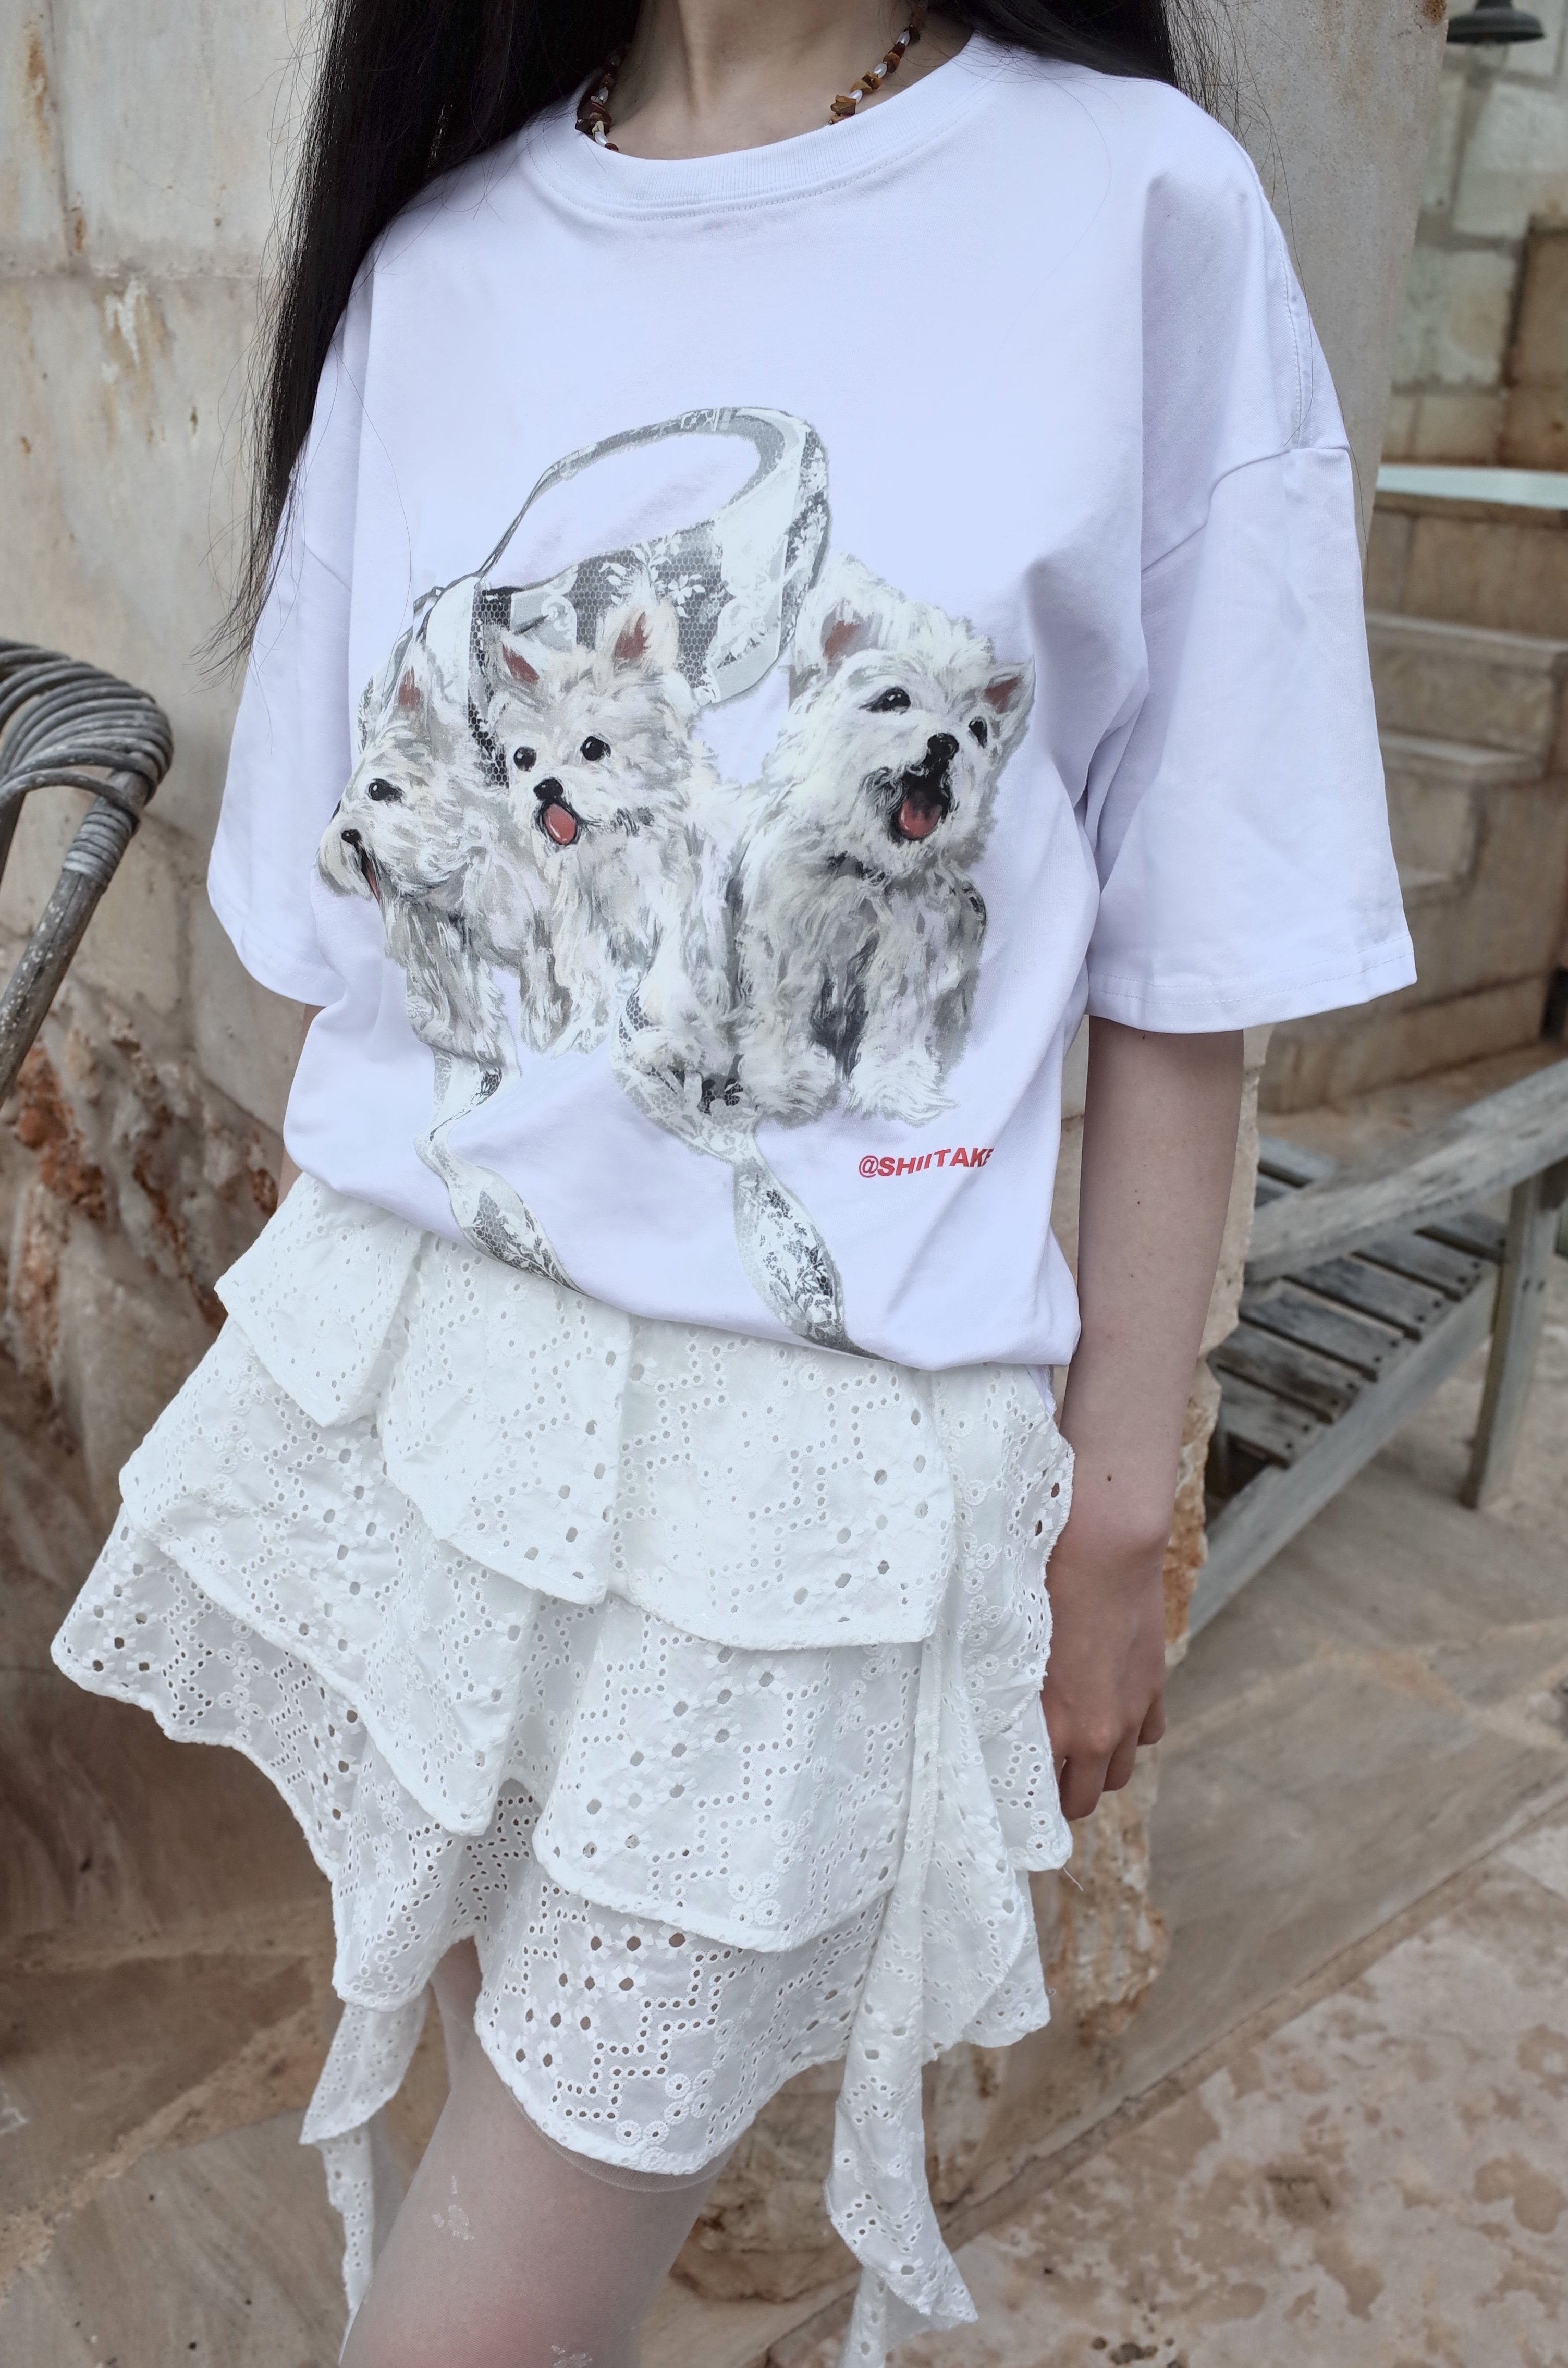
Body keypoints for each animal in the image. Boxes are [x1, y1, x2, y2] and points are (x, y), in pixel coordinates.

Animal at [735, 555, 1034, 1127]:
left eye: (977, 729)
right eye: (893, 699)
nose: (945, 744)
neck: (863, 872)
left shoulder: (910, 955)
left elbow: (898, 1022)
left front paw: (893, 1089)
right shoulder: (790, 942)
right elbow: (785, 1008)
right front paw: (788, 1081)